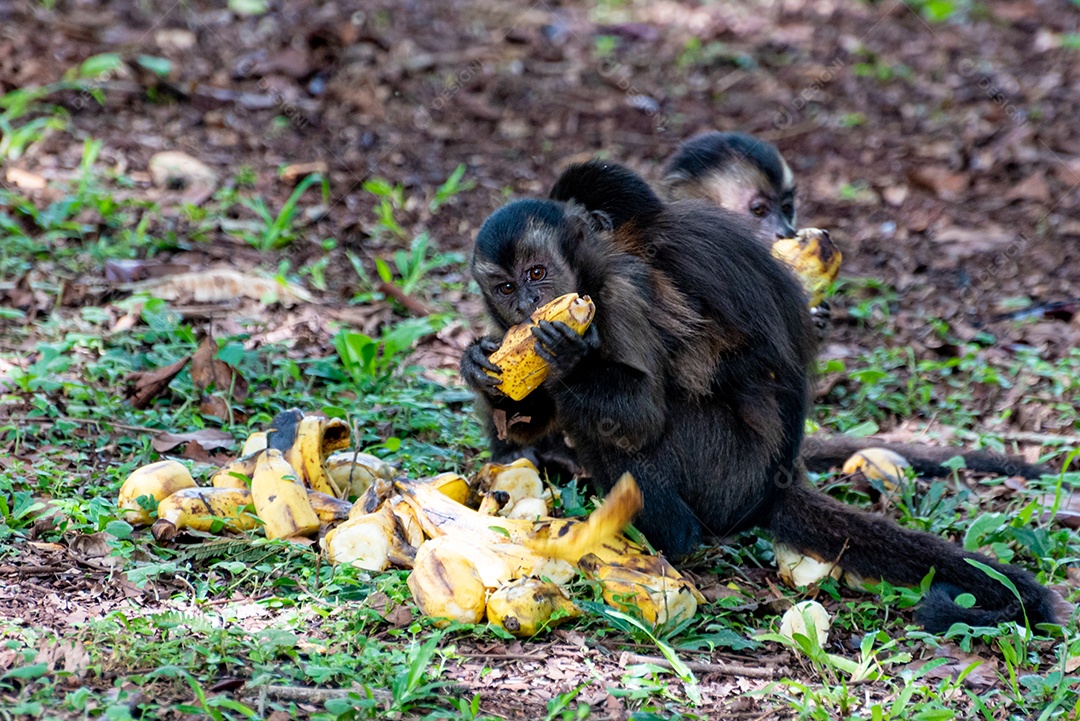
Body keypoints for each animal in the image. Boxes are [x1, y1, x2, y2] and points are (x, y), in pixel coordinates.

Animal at [460, 162, 1058, 630]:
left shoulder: (624, 288)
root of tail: (770, 483)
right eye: (506, 287)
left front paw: (572, 358)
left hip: (723, 469)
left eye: (538, 273)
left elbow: (642, 414)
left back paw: (668, 540)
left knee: (616, 428)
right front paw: (480, 370)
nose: (527, 303)